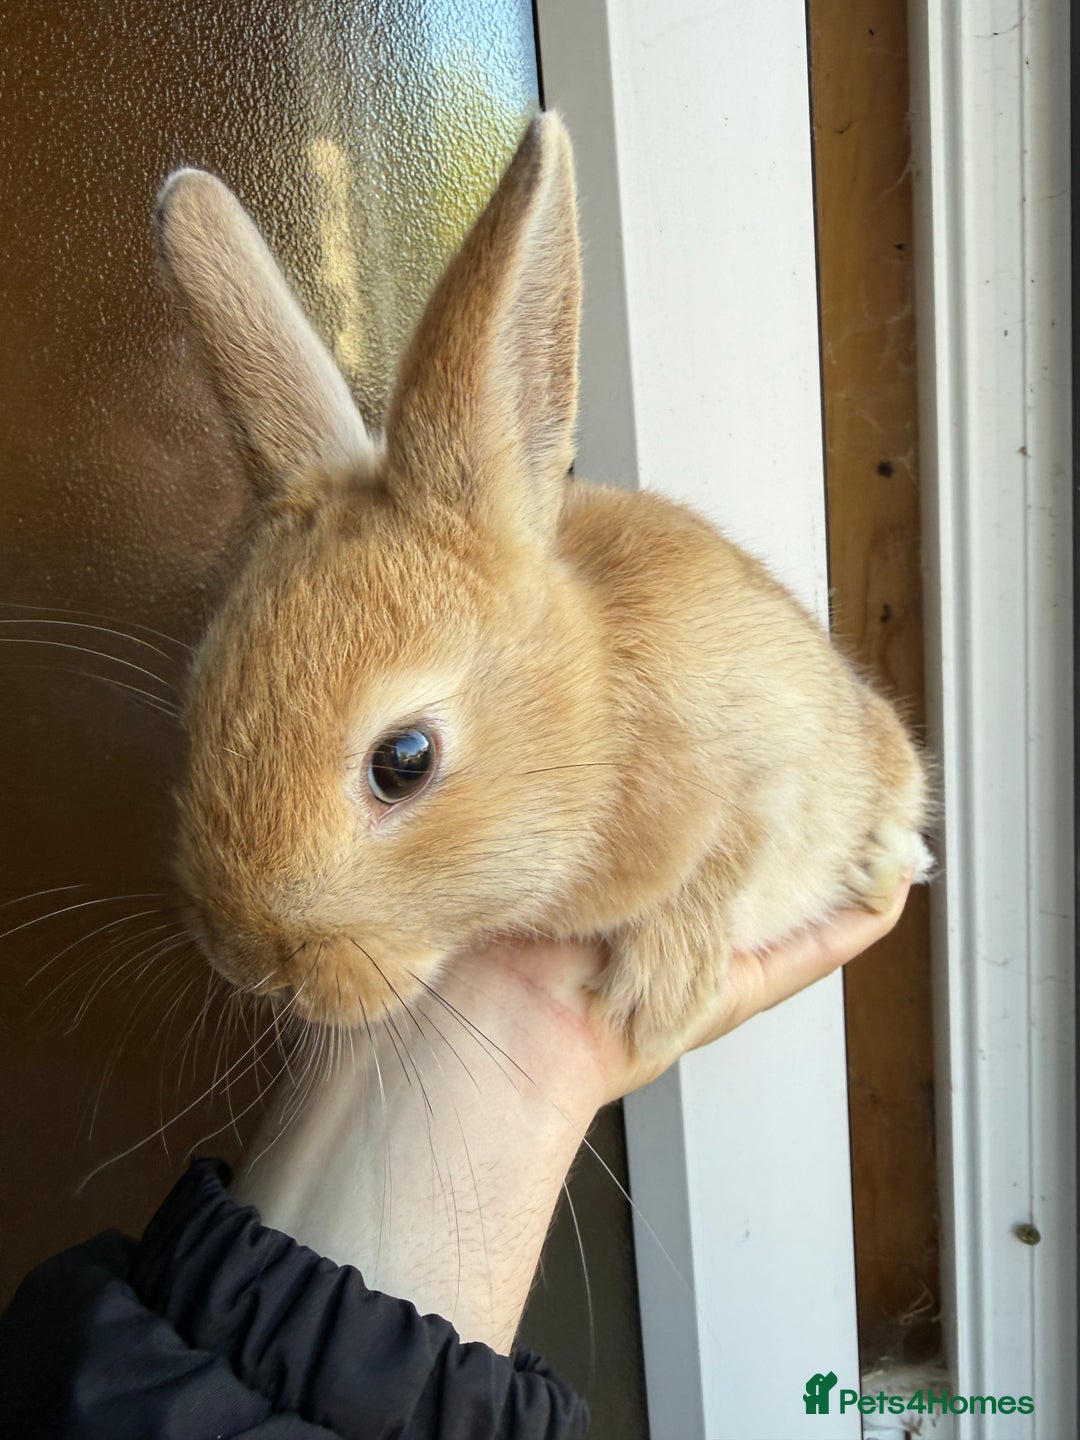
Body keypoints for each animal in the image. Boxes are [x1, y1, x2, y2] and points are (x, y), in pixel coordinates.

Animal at [157, 111, 930, 1059]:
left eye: (403, 763)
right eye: (198, 703)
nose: (248, 962)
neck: (595, 718)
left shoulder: (762, 765)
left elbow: (722, 861)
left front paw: (657, 1000)